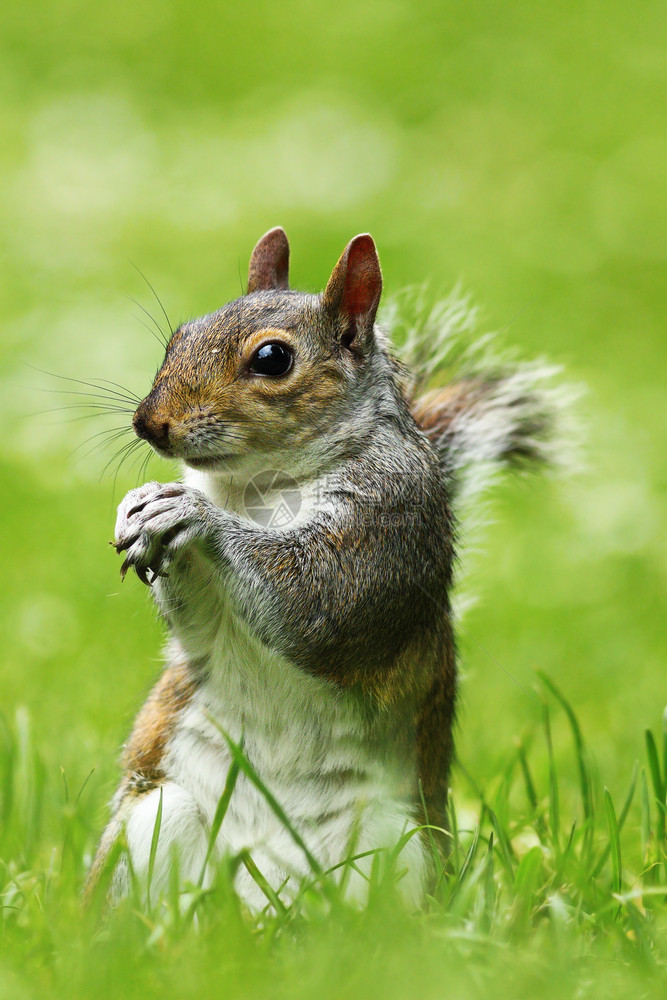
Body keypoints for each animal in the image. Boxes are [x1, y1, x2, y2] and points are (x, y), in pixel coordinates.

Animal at [87, 229, 568, 916]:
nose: (148, 423)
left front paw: (193, 514)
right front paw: (140, 504)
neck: (260, 486)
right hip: (159, 817)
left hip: (398, 846)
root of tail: (266, 908)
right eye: (179, 335)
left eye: (272, 359)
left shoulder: (390, 521)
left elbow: (318, 605)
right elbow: (200, 625)